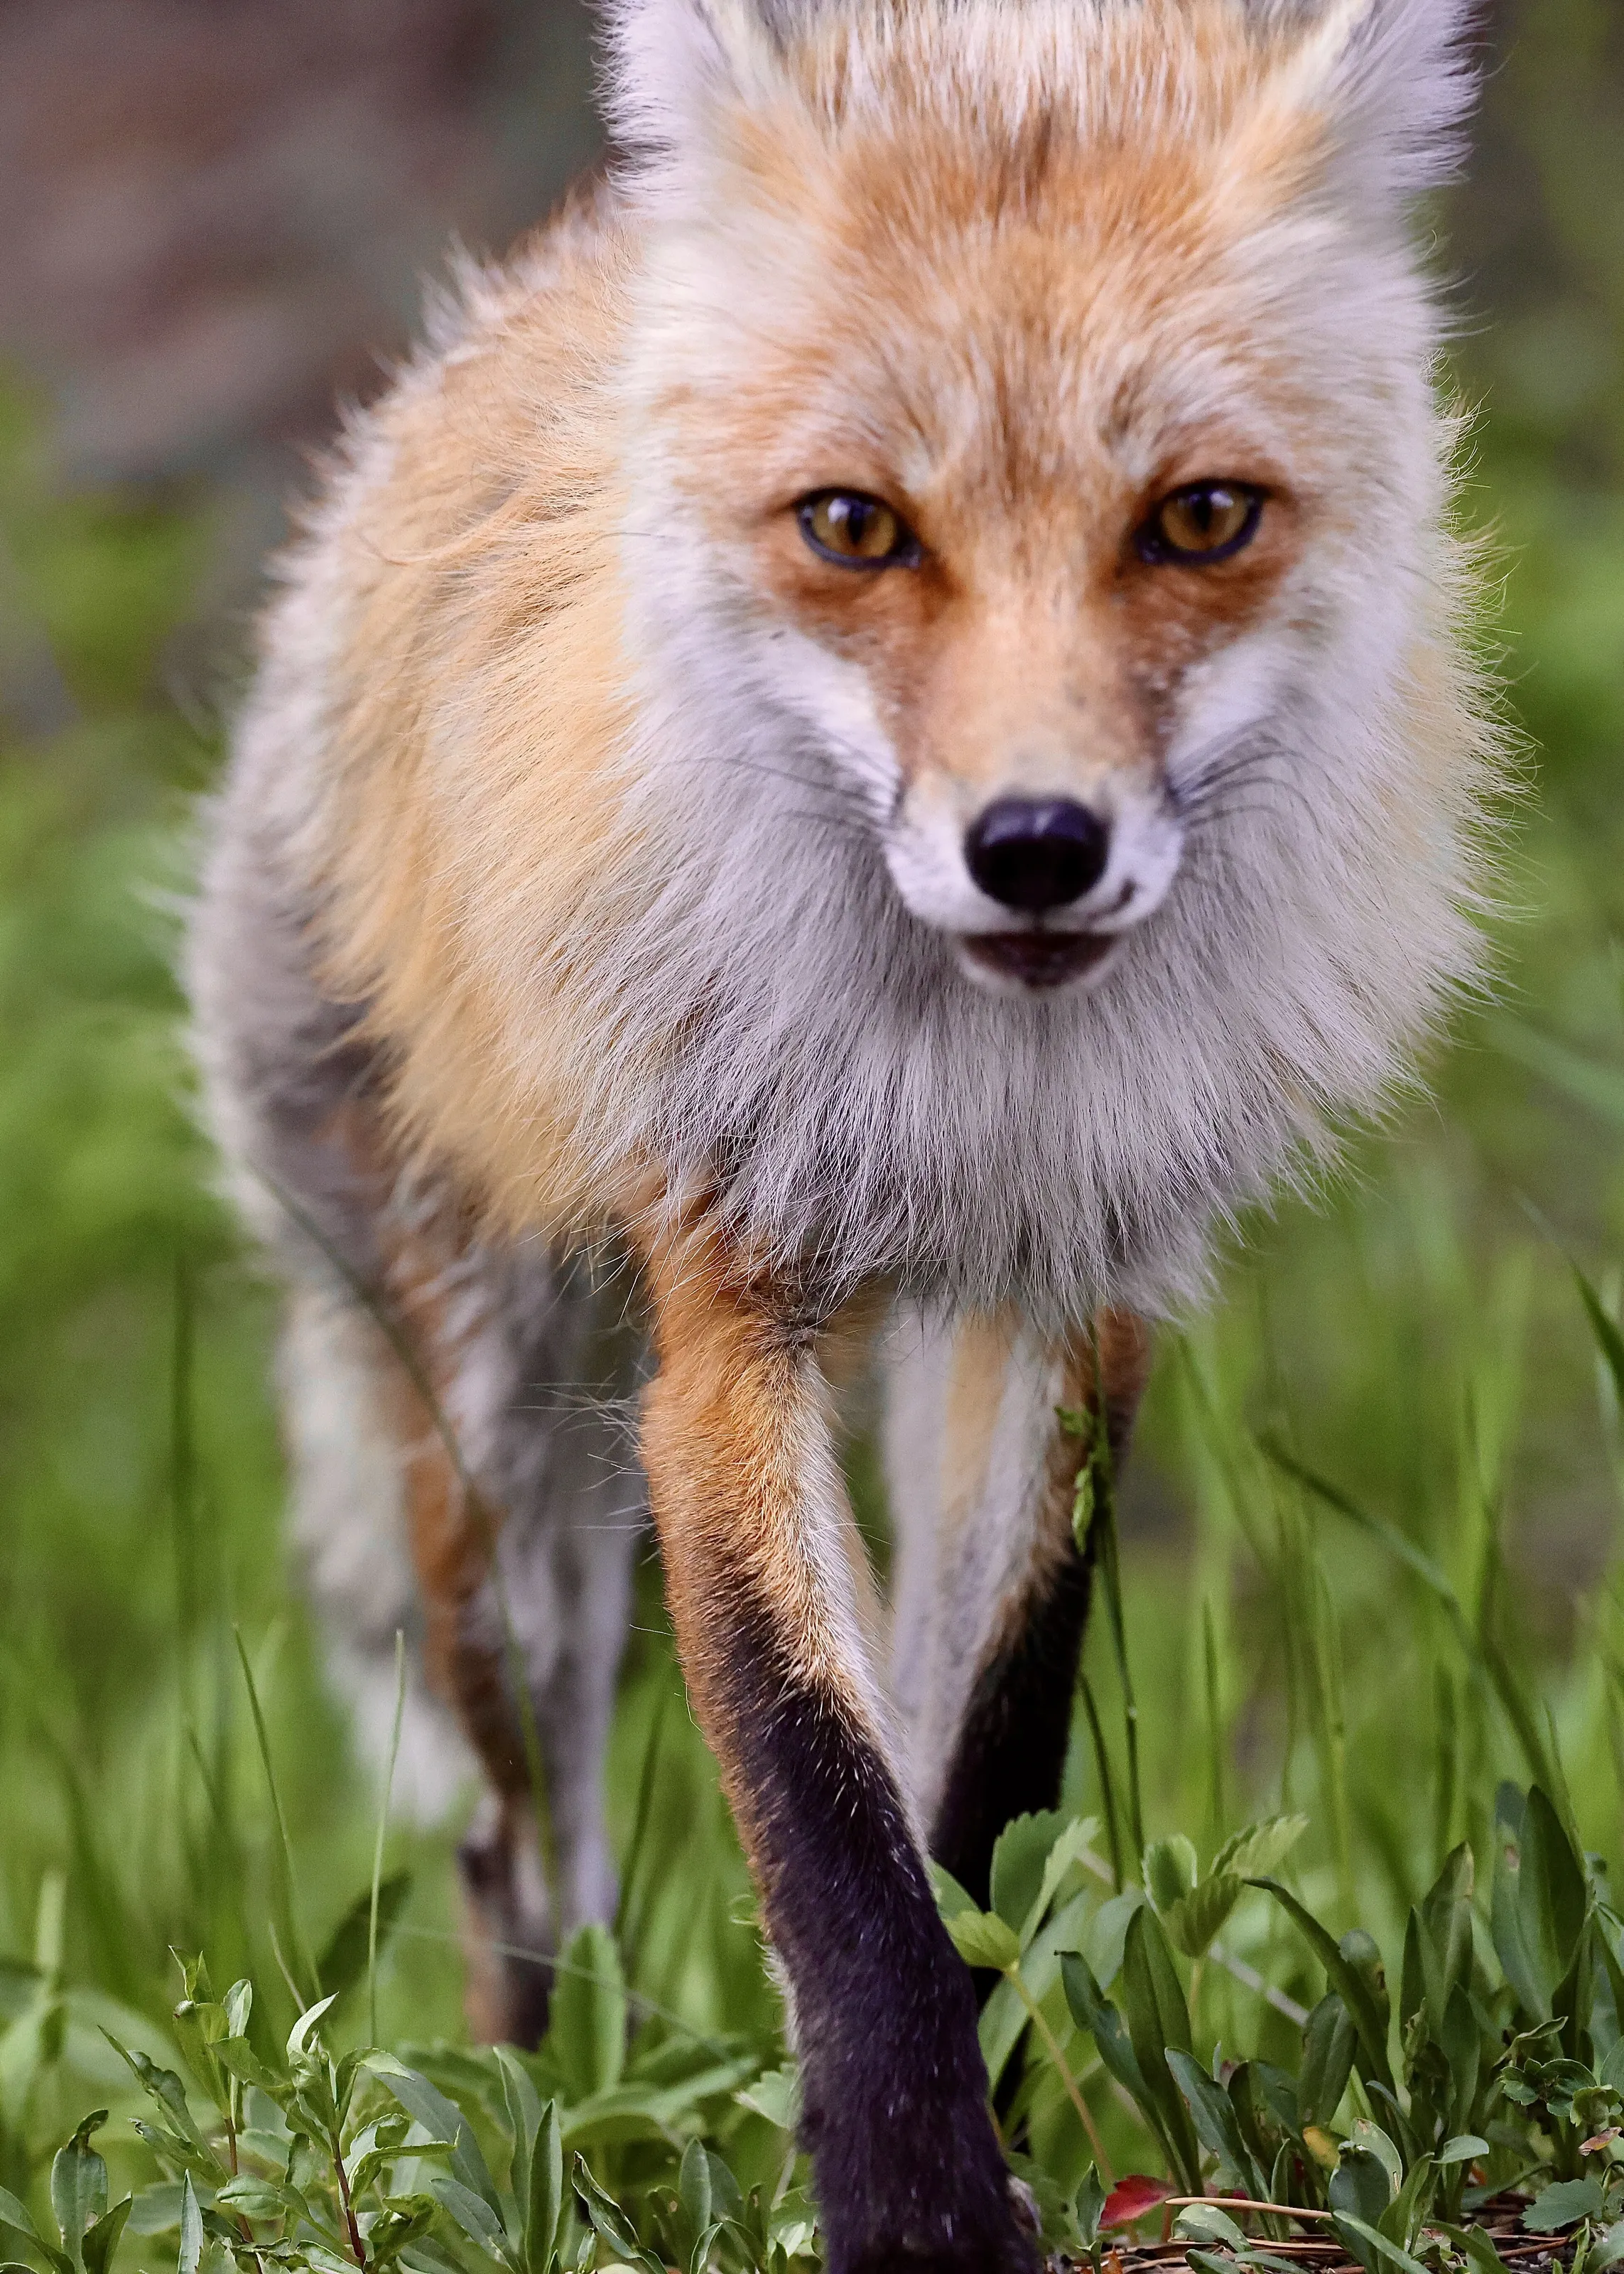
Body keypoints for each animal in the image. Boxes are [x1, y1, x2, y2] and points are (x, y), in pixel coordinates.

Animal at [187, 0, 1498, 2264]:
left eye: (1199, 518)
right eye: (854, 528)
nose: (1035, 847)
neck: (961, 1094)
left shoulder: (1066, 1300)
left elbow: (969, 1789)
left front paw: (968, 2109)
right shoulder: (728, 1317)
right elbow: (825, 1820)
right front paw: (912, 2201)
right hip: (493, 1489)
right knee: (518, 1850)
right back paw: (568, 2111)